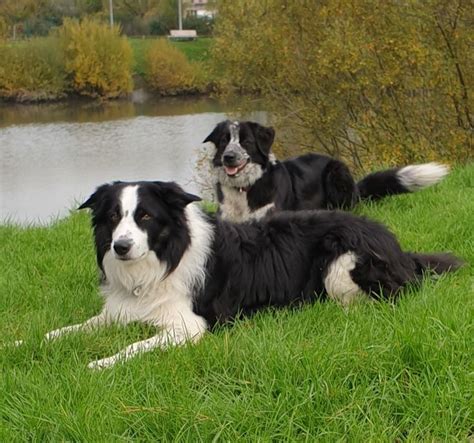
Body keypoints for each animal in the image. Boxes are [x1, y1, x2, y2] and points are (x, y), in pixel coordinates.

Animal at [41, 179, 462, 370]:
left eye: (145, 216)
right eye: (114, 217)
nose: (121, 247)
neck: (164, 258)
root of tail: (397, 246)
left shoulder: (189, 326)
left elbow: (133, 347)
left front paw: (99, 364)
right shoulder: (118, 312)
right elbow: (69, 330)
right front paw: (37, 342)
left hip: (340, 260)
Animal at [204, 120, 448, 222]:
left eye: (245, 141)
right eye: (224, 141)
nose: (228, 157)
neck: (244, 189)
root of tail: (356, 188)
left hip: (336, 172)